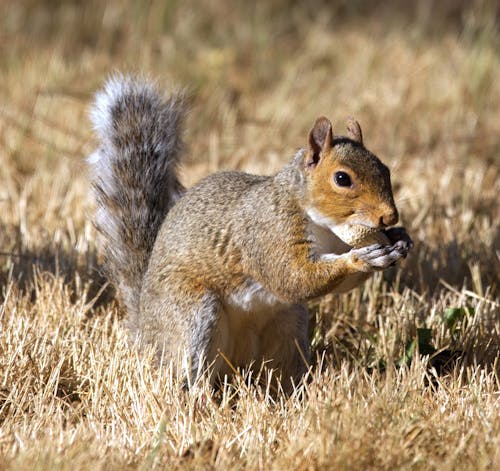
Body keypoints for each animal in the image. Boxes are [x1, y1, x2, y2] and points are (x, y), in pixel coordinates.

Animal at [88, 75, 412, 392]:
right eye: (342, 178)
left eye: (385, 169)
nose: (389, 216)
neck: (325, 227)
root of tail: (145, 328)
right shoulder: (268, 232)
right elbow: (292, 277)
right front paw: (360, 259)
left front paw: (400, 240)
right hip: (192, 314)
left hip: (287, 326)